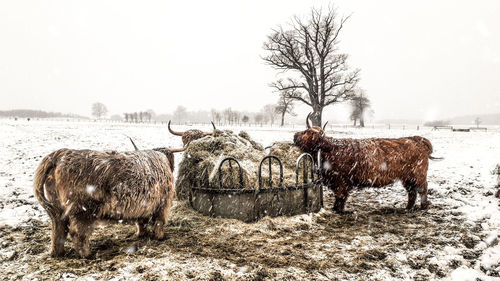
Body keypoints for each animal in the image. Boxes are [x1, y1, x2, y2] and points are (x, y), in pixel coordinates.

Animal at [34, 145, 184, 258]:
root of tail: (60, 154)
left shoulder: (144, 205)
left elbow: (142, 221)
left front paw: (141, 234)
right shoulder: (163, 203)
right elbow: (159, 221)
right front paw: (160, 237)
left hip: (57, 209)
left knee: (58, 230)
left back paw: (58, 253)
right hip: (84, 210)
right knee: (77, 233)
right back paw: (87, 255)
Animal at [294, 112, 440, 211]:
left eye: (306, 131)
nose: (294, 135)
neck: (328, 150)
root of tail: (417, 139)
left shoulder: (341, 181)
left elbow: (340, 196)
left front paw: (338, 210)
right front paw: (336, 209)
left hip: (418, 174)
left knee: (423, 189)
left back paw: (423, 206)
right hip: (407, 177)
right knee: (412, 192)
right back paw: (407, 208)